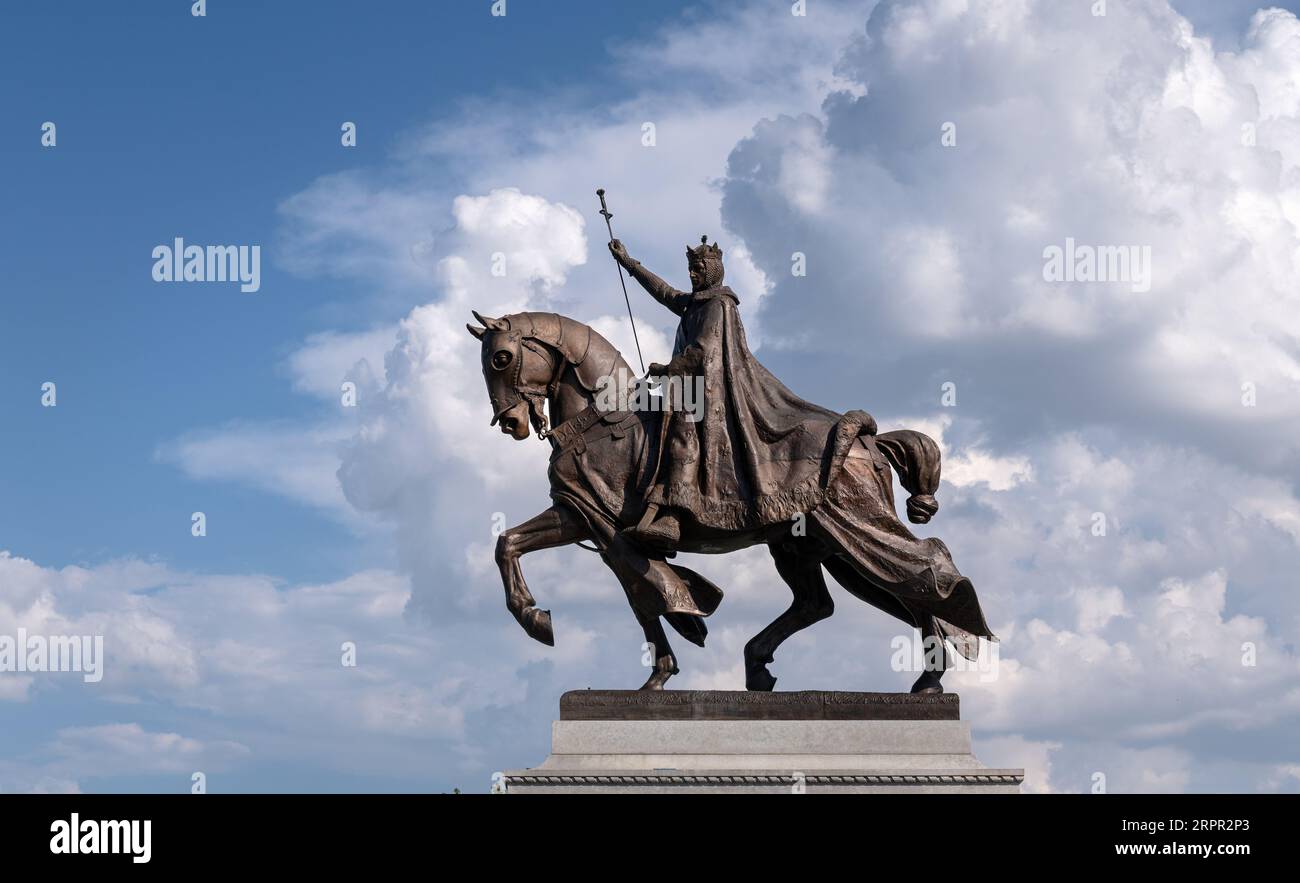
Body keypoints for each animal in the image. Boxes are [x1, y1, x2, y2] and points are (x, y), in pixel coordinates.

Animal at [467, 310, 993, 691]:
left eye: (501, 359)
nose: (510, 422)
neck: (602, 422)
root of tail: (868, 440)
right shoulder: (580, 517)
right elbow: (511, 544)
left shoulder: (596, 521)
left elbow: (646, 590)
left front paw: (540, 621)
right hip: (810, 548)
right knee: (825, 601)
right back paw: (759, 663)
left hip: (850, 531)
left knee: (921, 573)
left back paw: (929, 680)